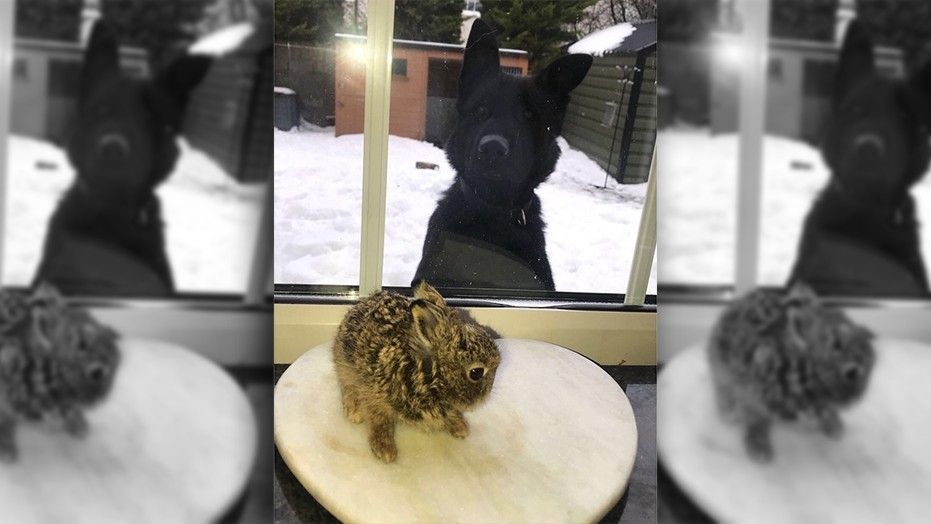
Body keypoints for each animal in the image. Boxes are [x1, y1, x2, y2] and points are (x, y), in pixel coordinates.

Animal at [333, 281, 500, 463]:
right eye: (476, 372)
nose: (487, 393)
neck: (428, 375)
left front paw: (460, 428)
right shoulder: (375, 394)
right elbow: (380, 420)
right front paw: (385, 451)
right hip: (345, 364)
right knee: (347, 386)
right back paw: (354, 412)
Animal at [707, 282, 875, 463]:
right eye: (837, 344)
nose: (858, 396)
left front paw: (835, 428)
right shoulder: (752, 395)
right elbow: (757, 420)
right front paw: (760, 452)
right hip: (721, 373)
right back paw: (728, 413)